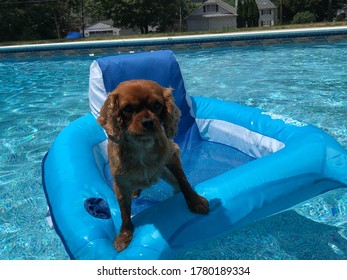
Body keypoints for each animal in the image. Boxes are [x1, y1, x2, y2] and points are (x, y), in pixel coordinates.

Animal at [97, 79, 209, 252]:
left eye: (157, 105)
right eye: (127, 108)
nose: (148, 122)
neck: (142, 145)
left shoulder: (172, 157)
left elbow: (184, 182)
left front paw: (196, 202)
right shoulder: (121, 183)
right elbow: (124, 212)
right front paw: (124, 235)